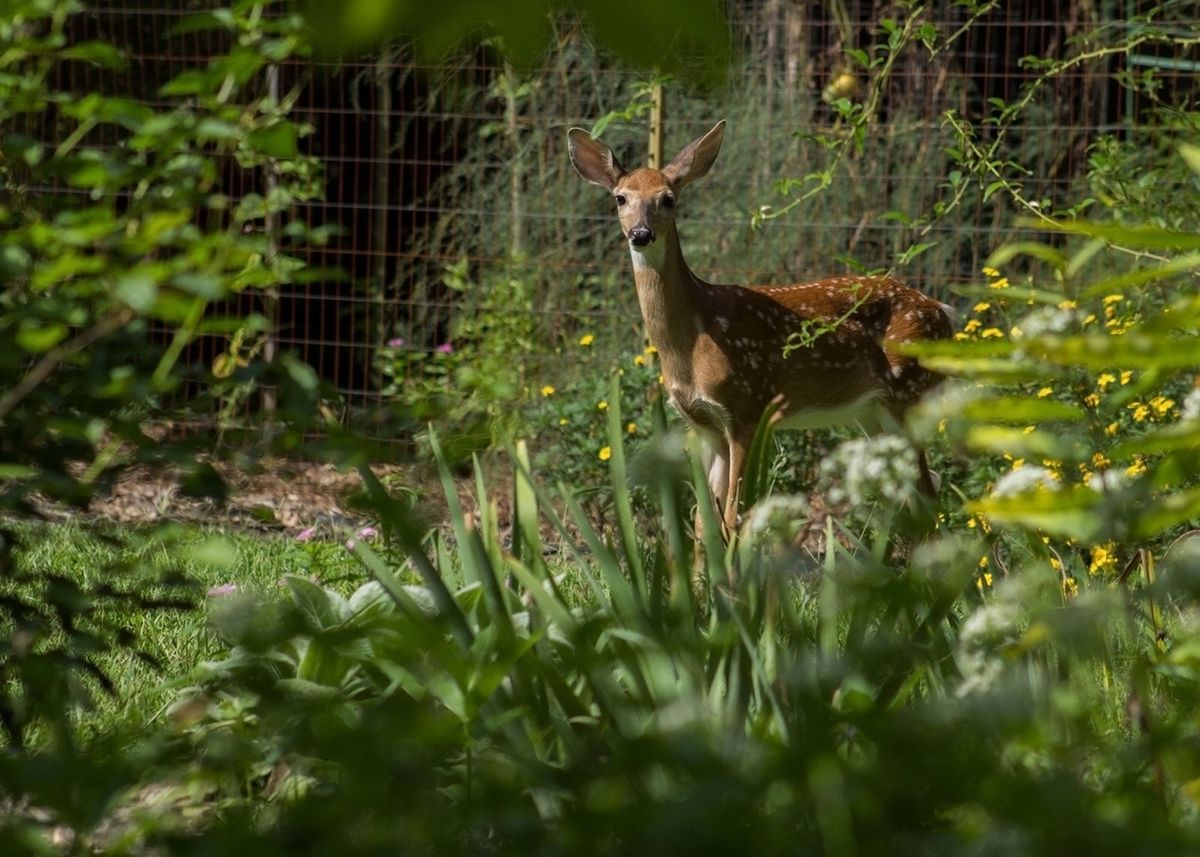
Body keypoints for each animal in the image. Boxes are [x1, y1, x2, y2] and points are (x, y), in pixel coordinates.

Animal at [567, 120, 954, 534]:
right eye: (620, 199)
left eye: (668, 199)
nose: (640, 234)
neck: (694, 338)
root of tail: (944, 313)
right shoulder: (703, 425)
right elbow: (703, 520)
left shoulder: (747, 408)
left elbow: (734, 516)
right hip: (871, 411)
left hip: (909, 394)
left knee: (929, 495)